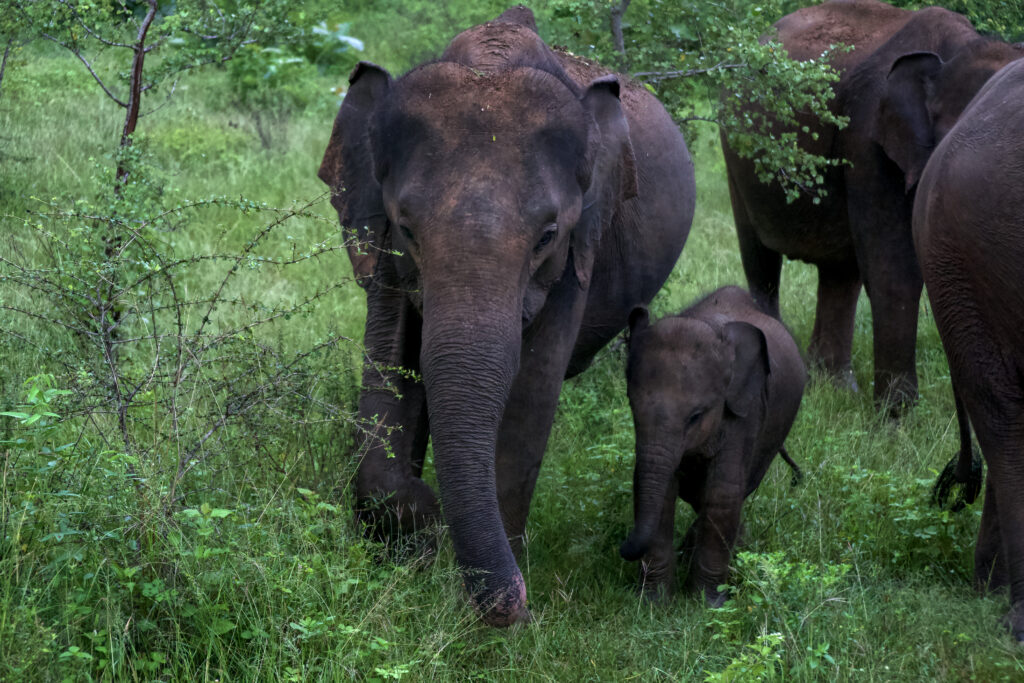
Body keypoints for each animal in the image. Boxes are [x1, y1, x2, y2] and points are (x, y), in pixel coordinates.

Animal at [315, 5, 696, 626]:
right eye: (407, 228)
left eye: (546, 235)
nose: (517, 604)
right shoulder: (381, 247)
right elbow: (388, 364)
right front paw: (415, 528)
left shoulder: (578, 253)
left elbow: (530, 396)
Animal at [614, 286, 806, 606]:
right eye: (631, 406)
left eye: (695, 416)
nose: (622, 548)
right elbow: (659, 491)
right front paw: (653, 603)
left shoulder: (743, 412)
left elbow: (722, 495)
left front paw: (707, 605)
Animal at [720, 0, 1024, 411]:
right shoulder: (867, 140)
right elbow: (894, 269)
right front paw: (897, 418)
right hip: (736, 149)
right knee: (761, 259)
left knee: (839, 272)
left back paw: (833, 387)